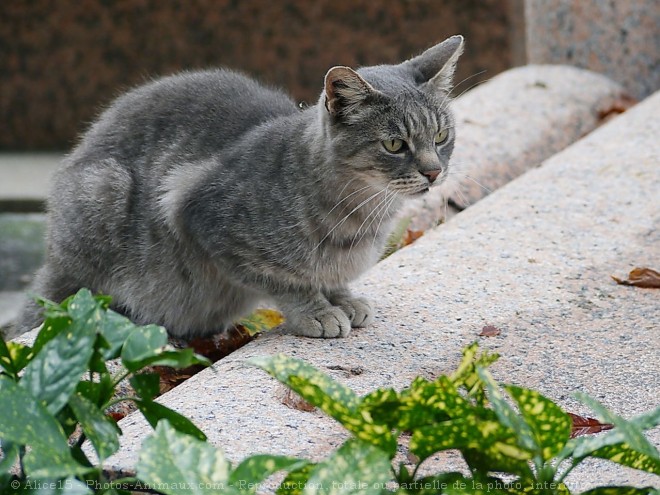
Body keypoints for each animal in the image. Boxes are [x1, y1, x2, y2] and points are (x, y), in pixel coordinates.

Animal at [16, 35, 464, 340]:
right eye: (395, 144)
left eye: (441, 136)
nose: (433, 172)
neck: (361, 216)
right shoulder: (199, 215)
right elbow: (285, 282)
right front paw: (316, 310)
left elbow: (330, 276)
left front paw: (343, 297)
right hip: (104, 191)